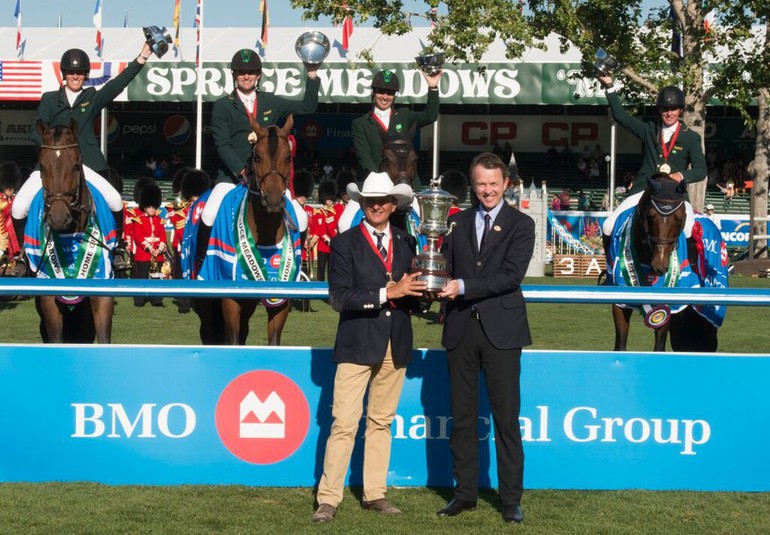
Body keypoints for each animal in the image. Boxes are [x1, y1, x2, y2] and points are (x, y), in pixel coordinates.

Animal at [28, 121, 116, 344]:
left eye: (76, 165)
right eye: (42, 166)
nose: (59, 218)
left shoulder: (103, 292)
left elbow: (103, 338)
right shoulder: (48, 297)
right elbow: (55, 338)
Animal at [192, 115, 300, 346]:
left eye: (288, 157)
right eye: (257, 156)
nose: (274, 200)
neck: (265, 235)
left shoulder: (281, 300)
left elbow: (273, 342)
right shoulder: (230, 299)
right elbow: (231, 339)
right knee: (209, 332)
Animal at [608, 174, 728, 354]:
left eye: (678, 219)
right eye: (650, 216)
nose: (660, 265)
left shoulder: (666, 305)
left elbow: (659, 346)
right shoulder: (619, 302)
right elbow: (620, 346)